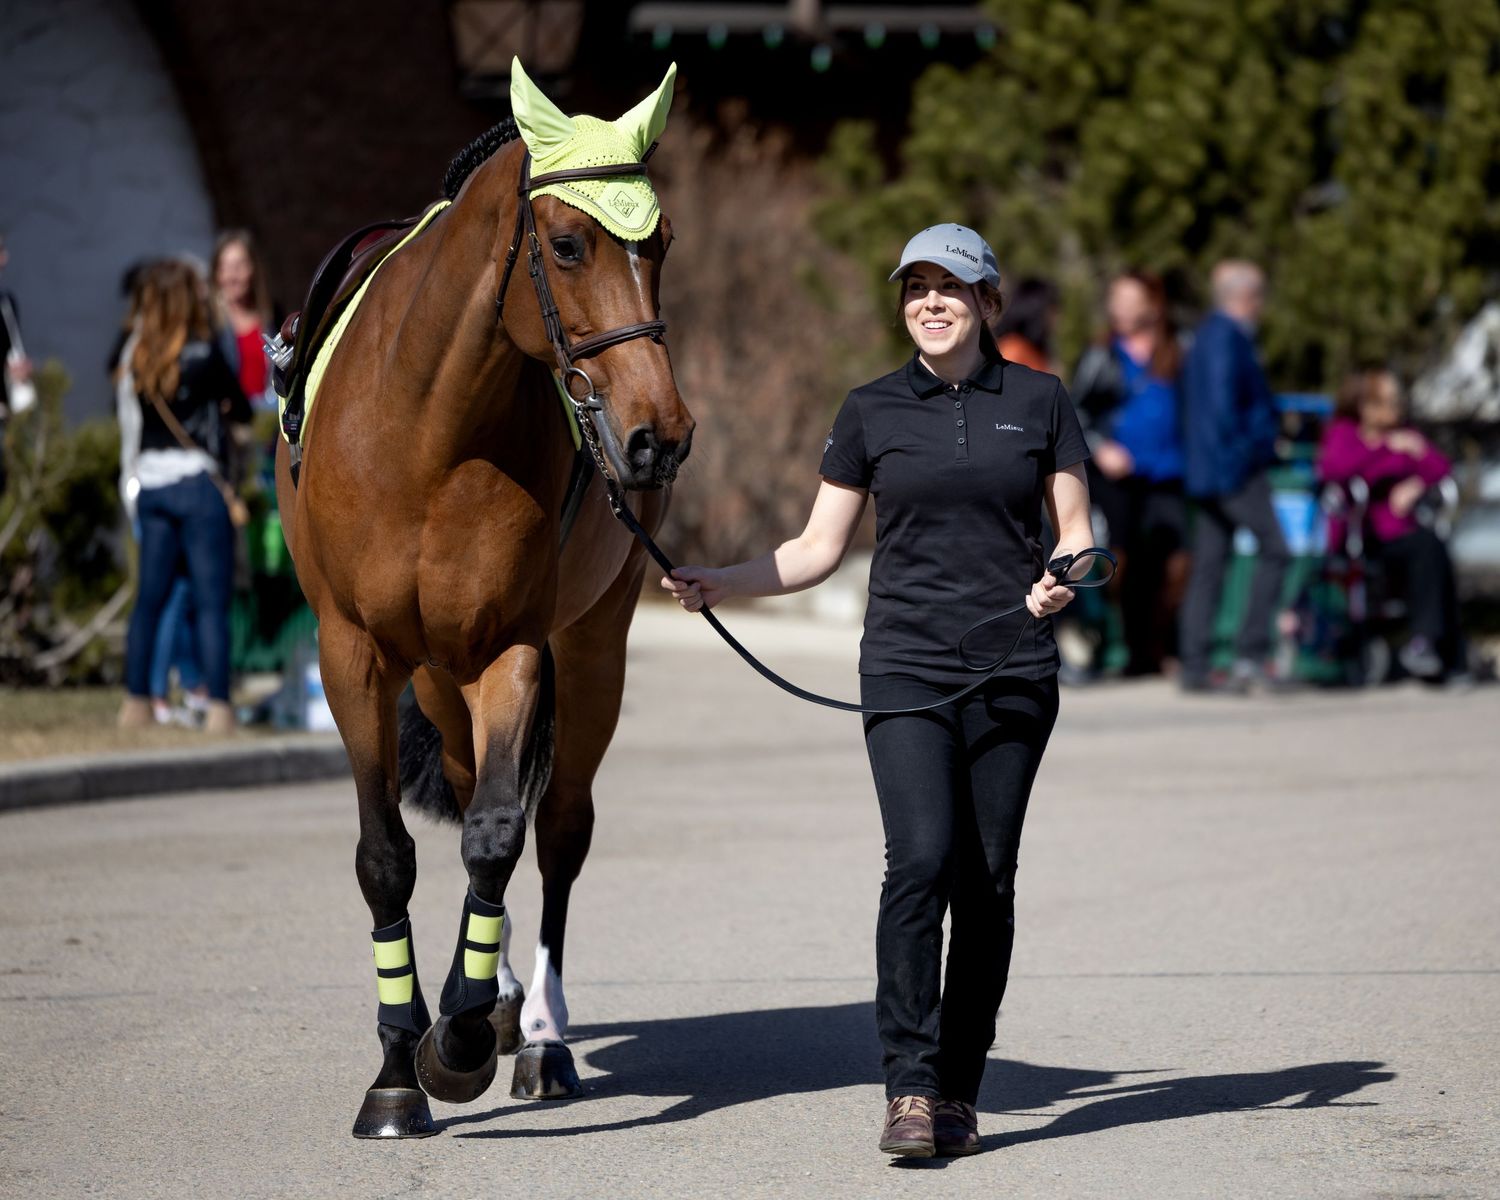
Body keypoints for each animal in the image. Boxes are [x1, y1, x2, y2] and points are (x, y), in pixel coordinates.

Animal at [274, 59, 694, 1138]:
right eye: (568, 244)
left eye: (661, 244)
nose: (659, 435)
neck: (430, 425)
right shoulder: (356, 653)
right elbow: (388, 854)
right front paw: (398, 1068)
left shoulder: (516, 648)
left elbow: (501, 835)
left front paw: (457, 1040)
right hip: (433, 673)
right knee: (467, 790)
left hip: (591, 649)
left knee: (558, 827)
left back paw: (534, 1031)